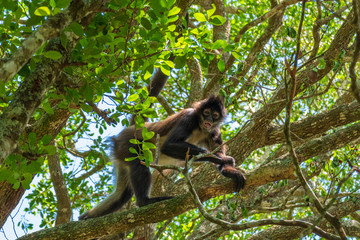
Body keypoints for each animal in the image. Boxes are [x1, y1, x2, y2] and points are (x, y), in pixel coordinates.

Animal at [79, 95, 246, 219]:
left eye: (215, 115)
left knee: (122, 195)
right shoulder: (189, 117)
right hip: (128, 145)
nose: (209, 120)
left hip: (122, 155)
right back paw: (144, 202)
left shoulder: (213, 131)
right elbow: (168, 146)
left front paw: (231, 171)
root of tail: (118, 138)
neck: (200, 127)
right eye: (206, 112)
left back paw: (86, 217)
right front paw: (220, 159)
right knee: (139, 163)